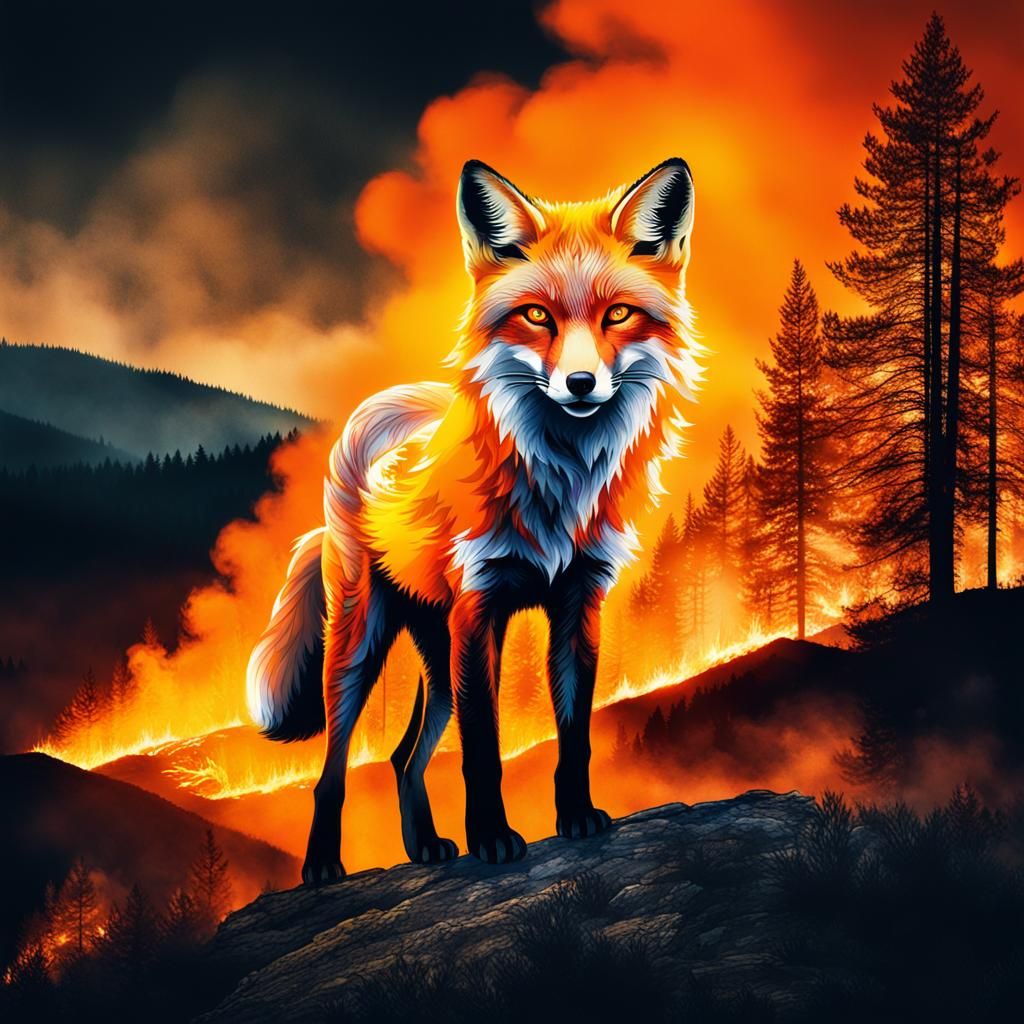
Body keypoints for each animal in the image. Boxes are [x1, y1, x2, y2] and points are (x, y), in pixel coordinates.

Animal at [246, 157, 702, 884]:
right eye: (536, 315)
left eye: (619, 315)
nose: (580, 384)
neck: (558, 487)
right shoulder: (480, 608)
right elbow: (483, 751)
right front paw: (492, 837)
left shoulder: (579, 605)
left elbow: (574, 739)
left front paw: (576, 819)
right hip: (362, 646)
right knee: (332, 771)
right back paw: (322, 865)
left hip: (438, 658)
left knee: (403, 756)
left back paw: (425, 845)